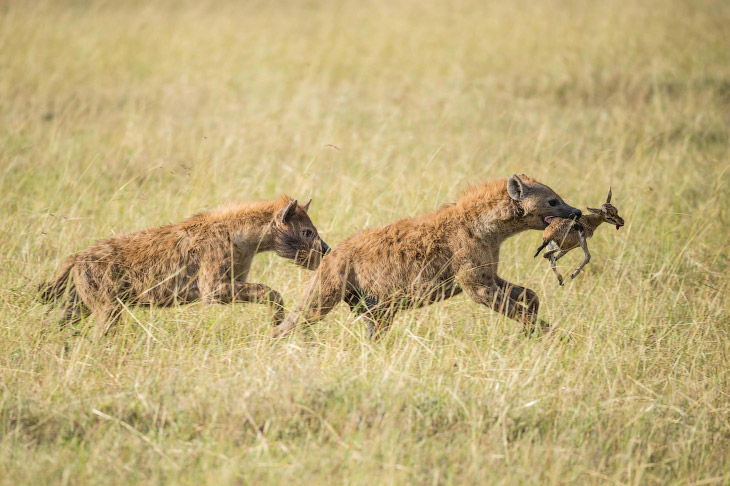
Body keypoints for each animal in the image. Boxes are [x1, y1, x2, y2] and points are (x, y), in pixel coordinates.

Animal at [37, 197, 328, 334]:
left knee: (60, 319)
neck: (245, 237)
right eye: (308, 232)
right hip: (106, 302)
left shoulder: (235, 277)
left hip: (79, 301)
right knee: (104, 325)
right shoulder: (213, 287)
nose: (327, 251)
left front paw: (276, 320)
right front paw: (277, 318)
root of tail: (77, 256)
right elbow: (269, 290)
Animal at [272, 173, 580, 340]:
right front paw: (549, 332)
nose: (577, 211)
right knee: (301, 316)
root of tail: (330, 254)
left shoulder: (489, 273)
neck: (487, 229)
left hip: (376, 305)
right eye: (553, 201)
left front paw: (534, 326)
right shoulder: (476, 282)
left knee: (373, 328)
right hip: (329, 288)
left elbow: (528, 294)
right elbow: (510, 306)